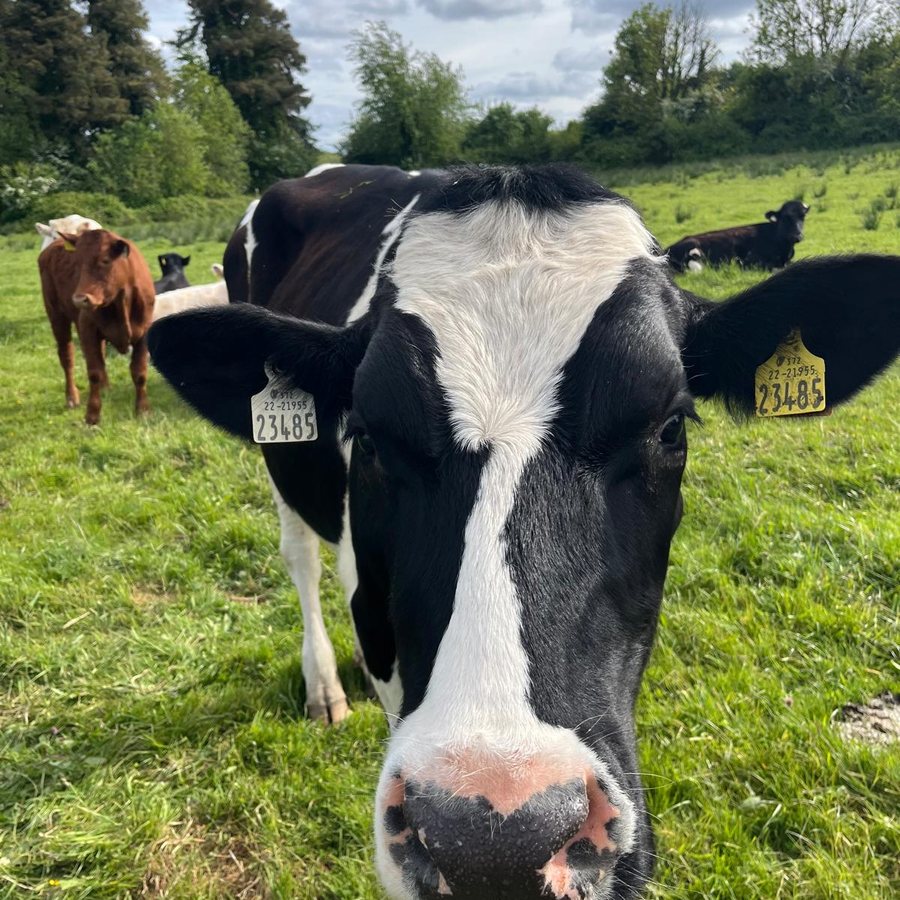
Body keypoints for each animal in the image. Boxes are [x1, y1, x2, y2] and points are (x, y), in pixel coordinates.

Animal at [38, 229, 155, 425]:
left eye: (105, 260)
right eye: (77, 262)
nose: (79, 299)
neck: (120, 300)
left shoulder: (144, 333)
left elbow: (139, 372)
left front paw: (143, 410)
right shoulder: (88, 328)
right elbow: (94, 372)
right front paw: (92, 415)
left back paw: (106, 388)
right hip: (56, 316)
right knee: (67, 356)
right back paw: (72, 397)